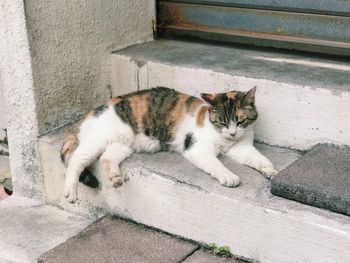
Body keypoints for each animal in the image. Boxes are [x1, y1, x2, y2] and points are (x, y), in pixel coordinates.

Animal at [61, 85, 278, 203]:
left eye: (241, 121)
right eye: (223, 123)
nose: (232, 133)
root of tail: (92, 112)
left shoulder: (242, 148)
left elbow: (260, 159)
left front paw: (272, 172)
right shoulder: (197, 149)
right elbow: (216, 164)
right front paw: (228, 176)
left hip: (123, 144)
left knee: (106, 158)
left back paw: (115, 178)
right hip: (99, 139)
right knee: (76, 160)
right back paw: (70, 191)